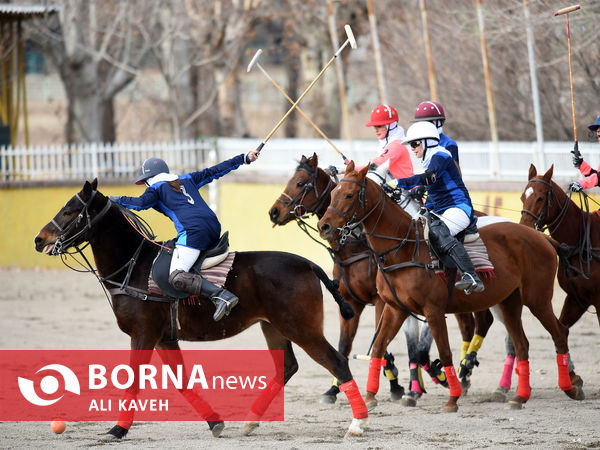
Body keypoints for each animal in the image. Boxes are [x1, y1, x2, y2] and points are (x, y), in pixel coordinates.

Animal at [34, 178, 370, 436]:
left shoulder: (144, 333)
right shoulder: (164, 338)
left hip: (302, 328)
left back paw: (357, 423)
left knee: (338, 363)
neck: (133, 265)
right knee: (287, 367)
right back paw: (250, 421)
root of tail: (308, 263)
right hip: (273, 326)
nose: (39, 239)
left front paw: (118, 429)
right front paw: (215, 422)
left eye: (69, 210)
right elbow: (182, 381)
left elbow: (133, 381)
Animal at [270, 153, 494, 406]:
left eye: (300, 183)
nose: (274, 212)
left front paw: (399, 384)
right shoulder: (354, 303)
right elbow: (346, 345)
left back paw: (460, 372)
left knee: (480, 323)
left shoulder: (383, 301)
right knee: (468, 325)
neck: (357, 246)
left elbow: (391, 344)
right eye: (334, 193)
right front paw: (334, 389)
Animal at [316, 162, 584, 412]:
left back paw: (570, 387)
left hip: (537, 299)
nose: (324, 226)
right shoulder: (396, 308)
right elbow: (379, 348)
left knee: (559, 333)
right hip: (509, 302)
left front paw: (452, 398)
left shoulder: (433, 311)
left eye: (350, 195)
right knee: (522, 345)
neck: (404, 247)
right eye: (333, 193)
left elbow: (443, 353)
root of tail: (541, 236)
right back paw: (520, 396)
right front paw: (372, 396)